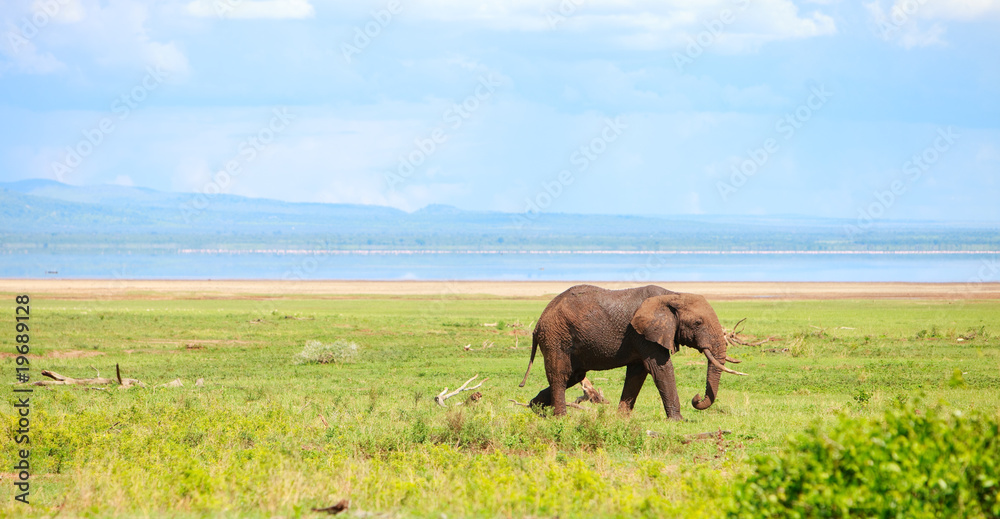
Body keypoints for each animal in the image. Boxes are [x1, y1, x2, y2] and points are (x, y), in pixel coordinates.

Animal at [519, 284, 746, 420]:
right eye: (698, 323)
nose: (697, 398)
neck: (674, 295)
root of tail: (538, 324)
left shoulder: (642, 337)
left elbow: (637, 373)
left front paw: (621, 417)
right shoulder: (645, 335)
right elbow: (660, 369)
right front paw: (678, 420)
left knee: (573, 375)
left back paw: (534, 408)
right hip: (556, 337)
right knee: (561, 375)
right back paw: (560, 417)